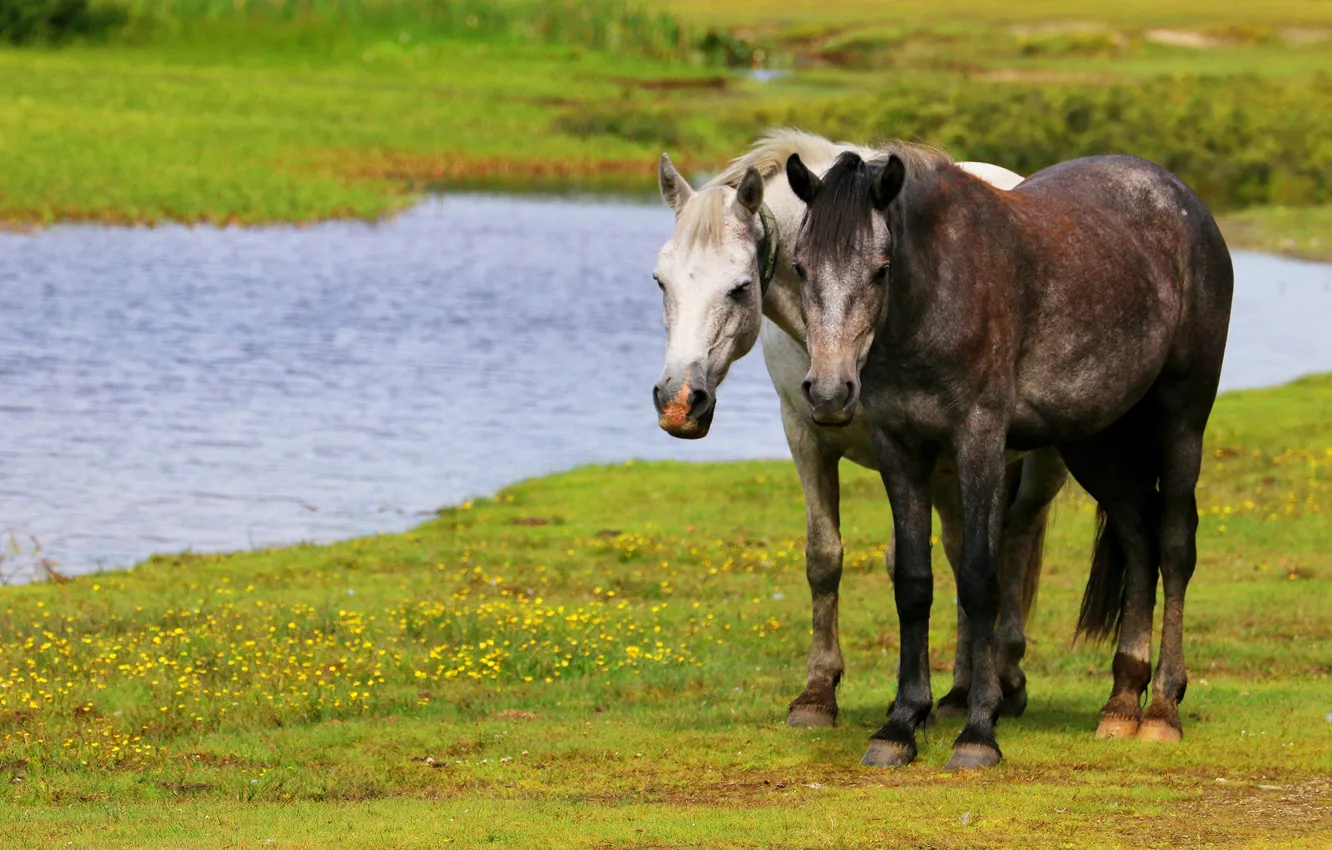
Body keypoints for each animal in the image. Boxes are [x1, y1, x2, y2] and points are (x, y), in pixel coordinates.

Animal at [650, 129, 1065, 730]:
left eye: (739, 287)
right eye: (661, 282)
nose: (680, 402)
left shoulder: (903, 449)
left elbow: (903, 565)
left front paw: (904, 702)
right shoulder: (804, 436)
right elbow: (824, 557)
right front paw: (817, 693)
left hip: (1040, 463)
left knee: (1017, 538)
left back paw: (1005, 679)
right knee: (965, 549)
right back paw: (962, 690)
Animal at [783, 146, 1230, 772]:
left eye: (881, 269)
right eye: (800, 267)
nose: (827, 393)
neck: (940, 295)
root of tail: (1185, 201)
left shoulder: (979, 442)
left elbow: (979, 580)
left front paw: (978, 732)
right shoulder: (901, 449)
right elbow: (914, 583)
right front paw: (899, 726)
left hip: (1182, 415)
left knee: (1172, 544)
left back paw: (1163, 709)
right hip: (1094, 441)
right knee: (1138, 535)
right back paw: (1121, 702)